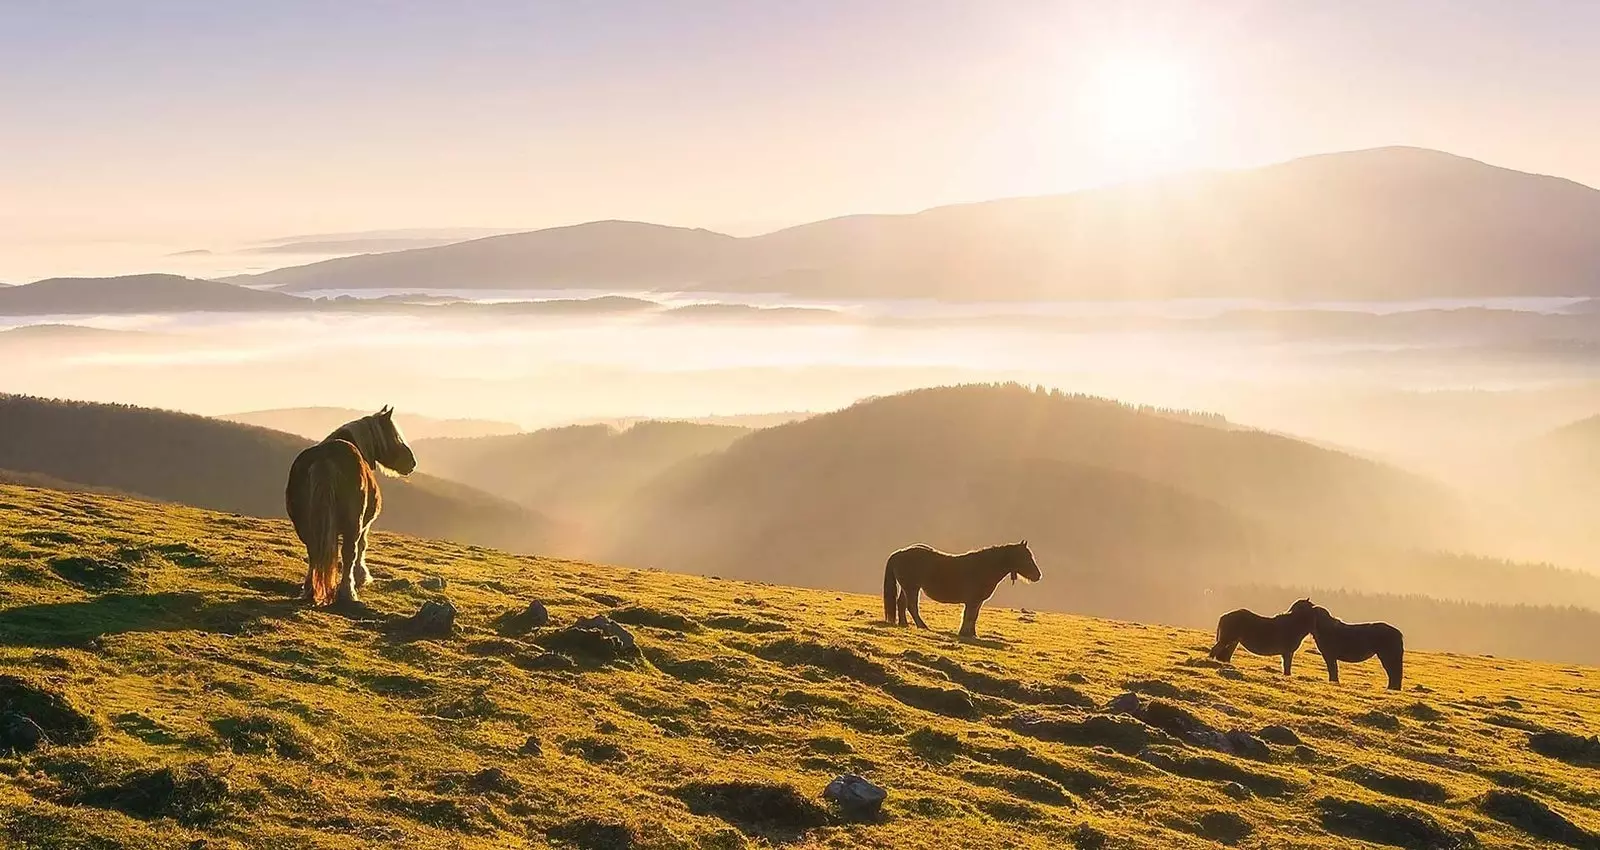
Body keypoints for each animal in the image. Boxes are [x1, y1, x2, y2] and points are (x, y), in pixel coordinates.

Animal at [883, 544, 1043, 640]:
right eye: (1026, 557)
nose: (1038, 576)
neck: (985, 567)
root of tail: (899, 553)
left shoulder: (977, 601)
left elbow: (973, 617)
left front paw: (972, 634)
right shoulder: (973, 600)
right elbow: (969, 616)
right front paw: (965, 634)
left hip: (908, 588)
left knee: (901, 603)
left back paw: (904, 624)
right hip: (912, 588)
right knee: (911, 607)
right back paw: (922, 626)